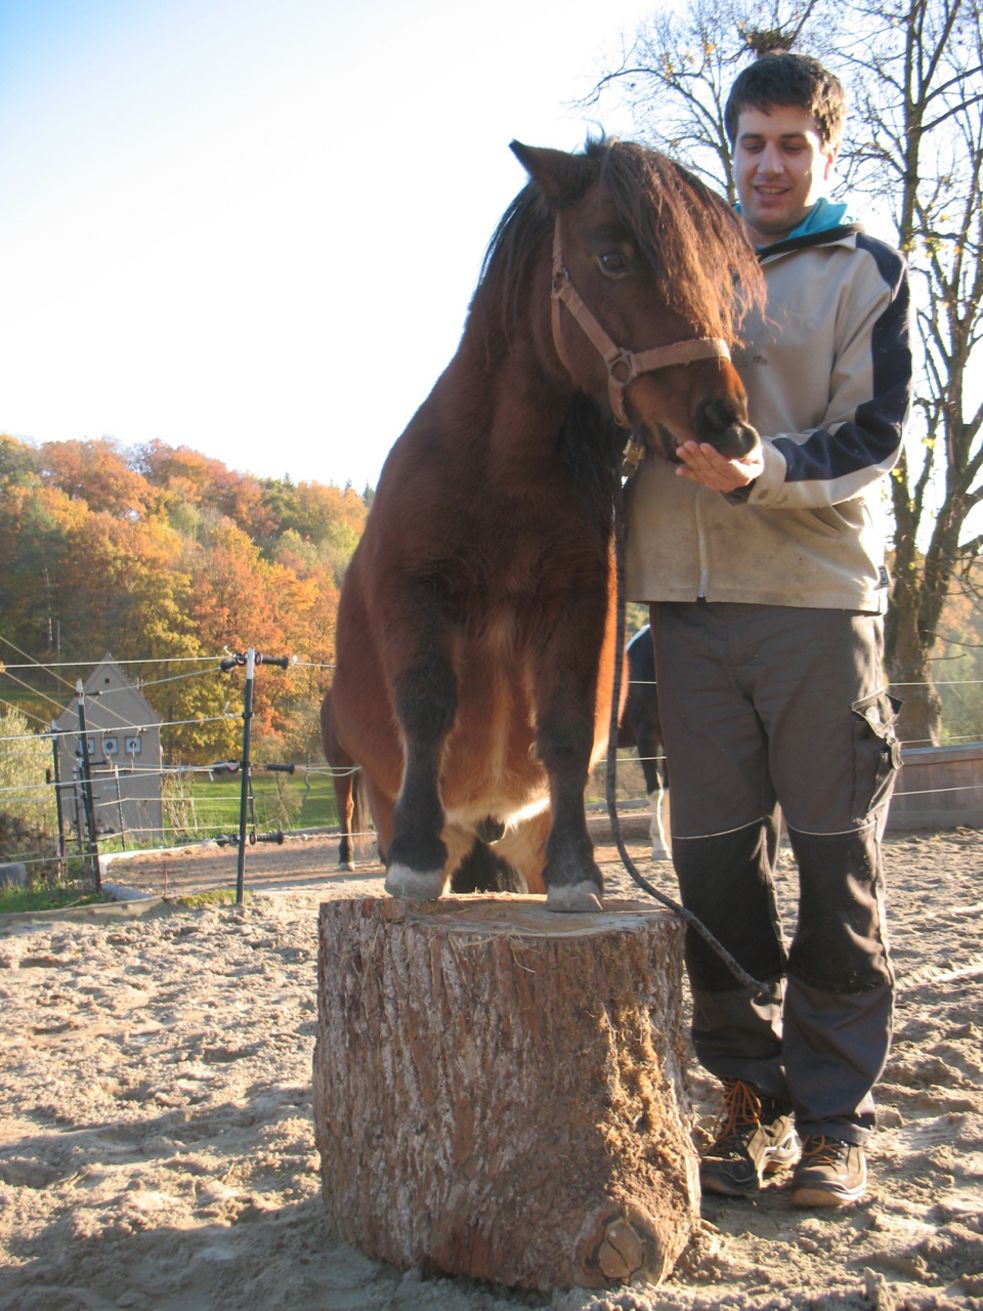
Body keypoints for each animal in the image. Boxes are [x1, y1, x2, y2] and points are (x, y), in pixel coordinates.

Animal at [328, 138, 760, 907]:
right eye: (611, 257)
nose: (728, 426)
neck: (504, 472)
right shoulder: (414, 590)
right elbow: (427, 707)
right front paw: (414, 858)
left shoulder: (578, 602)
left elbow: (562, 730)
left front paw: (578, 871)